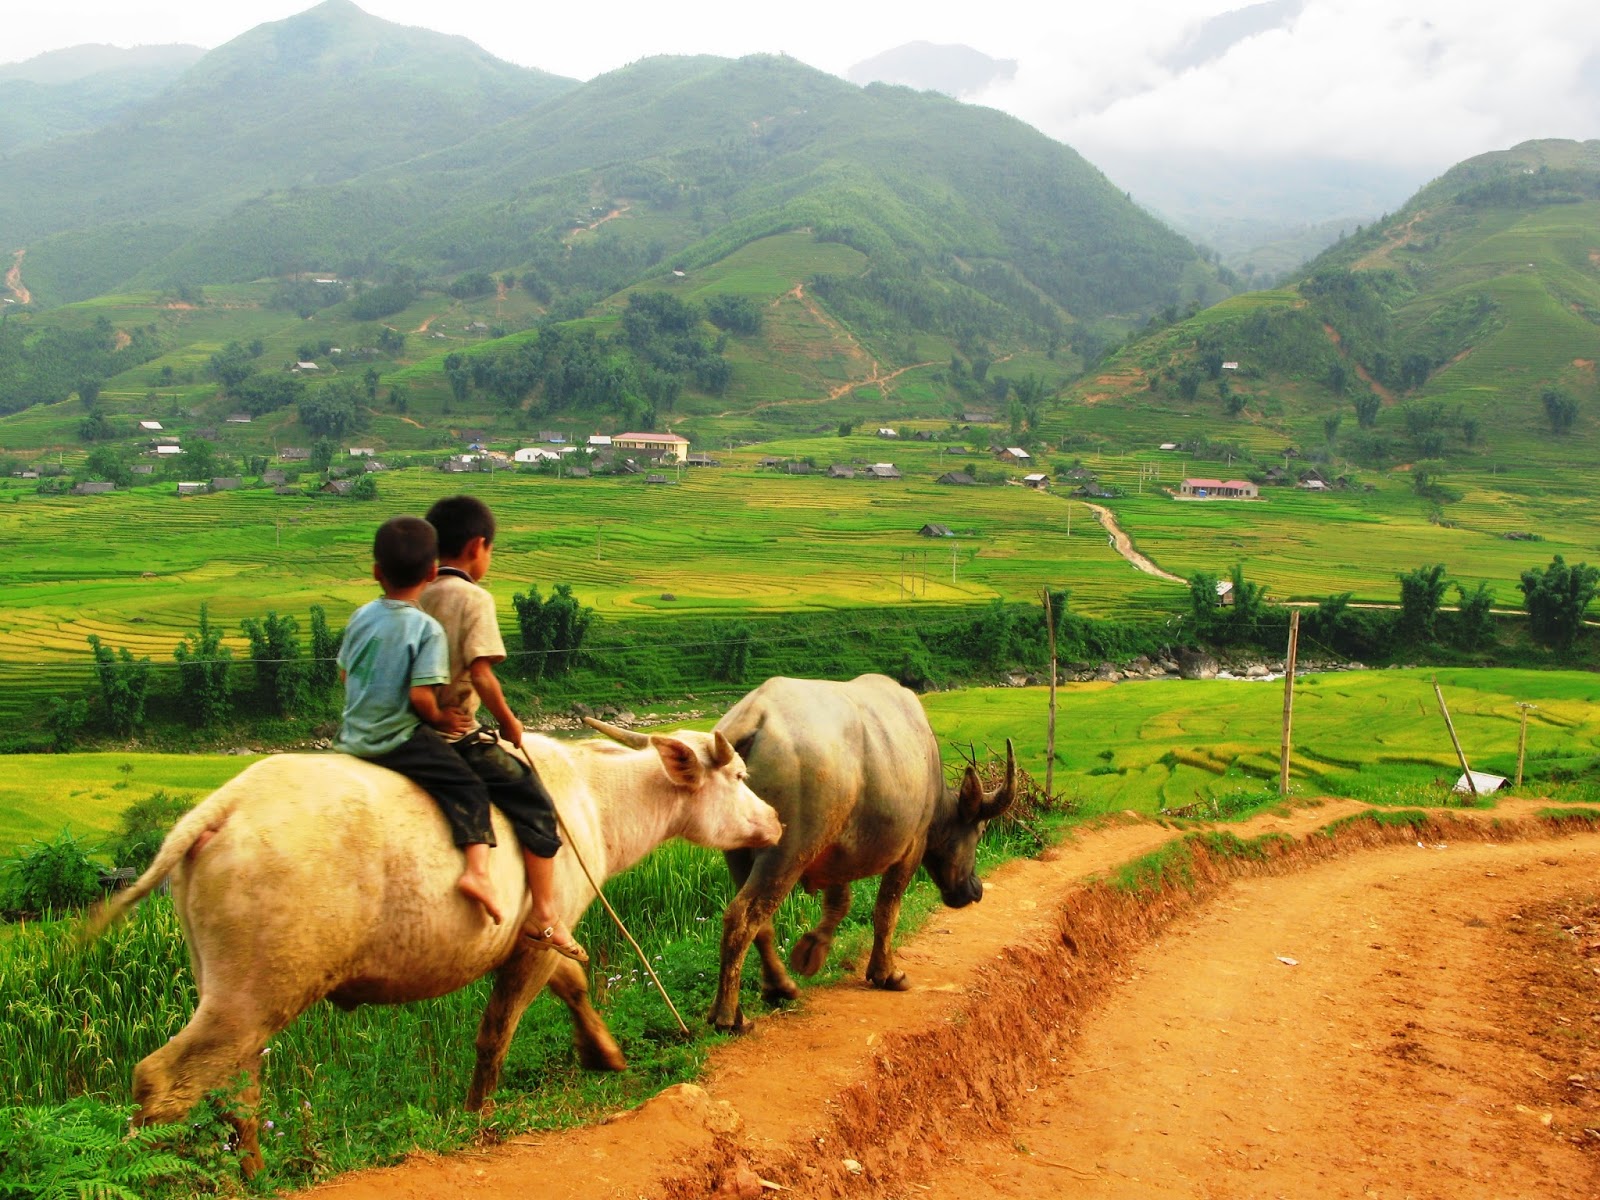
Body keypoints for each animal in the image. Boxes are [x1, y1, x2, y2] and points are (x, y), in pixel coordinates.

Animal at [84, 723, 784, 1177]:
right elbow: (497, 1030)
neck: (594, 799)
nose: (776, 821)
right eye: (739, 776)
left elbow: (574, 986)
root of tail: (219, 810)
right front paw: (478, 1113)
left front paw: (605, 1054)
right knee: (163, 1080)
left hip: (231, 993)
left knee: (237, 1086)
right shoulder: (538, 938)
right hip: (255, 995)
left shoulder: (544, 934)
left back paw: (256, 1172)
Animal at [710, 678, 1011, 1036]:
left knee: (759, 921)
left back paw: (778, 986)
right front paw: (887, 974)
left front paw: (812, 950)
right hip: (788, 850)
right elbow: (887, 909)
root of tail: (753, 719)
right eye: (979, 831)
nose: (974, 890)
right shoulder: (912, 846)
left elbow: (840, 902)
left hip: (738, 851)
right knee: (743, 915)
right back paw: (729, 1015)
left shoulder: (835, 853)